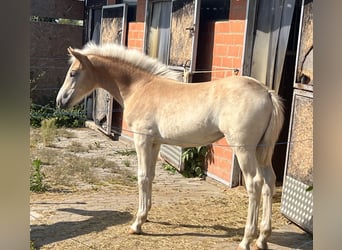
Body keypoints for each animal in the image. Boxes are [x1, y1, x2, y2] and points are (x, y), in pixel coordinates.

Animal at [56, 42, 284, 249]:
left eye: (73, 73)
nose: (60, 101)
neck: (140, 87)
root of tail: (266, 92)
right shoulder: (155, 142)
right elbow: (150, 176)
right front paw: (145, 216)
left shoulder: (142, 140)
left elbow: (142, 177)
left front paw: (136, 224)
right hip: (261, 151)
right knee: (269, 181)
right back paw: (262, 238)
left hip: (243, 149)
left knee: (254, 183)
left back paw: (246, 240)